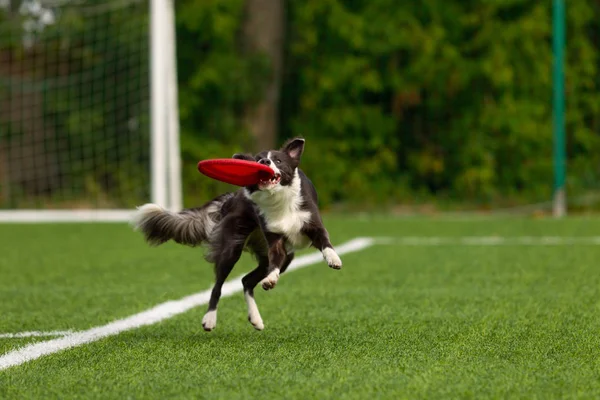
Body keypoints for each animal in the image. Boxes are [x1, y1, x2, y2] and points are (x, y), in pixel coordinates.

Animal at [129, 138, 342, 332]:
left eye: (278, 160)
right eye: (258, 159)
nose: (265, 162)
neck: (277, 199)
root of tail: (232, 197)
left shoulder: (312, 223)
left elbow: (325, 241)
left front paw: (334, 259)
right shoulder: (273, 239)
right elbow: (274, 261)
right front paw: (270, 280)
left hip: (283, 257)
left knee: (246, 280)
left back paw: (256, 319)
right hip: (233, 246)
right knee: (219, 285)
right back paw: (210, 319)